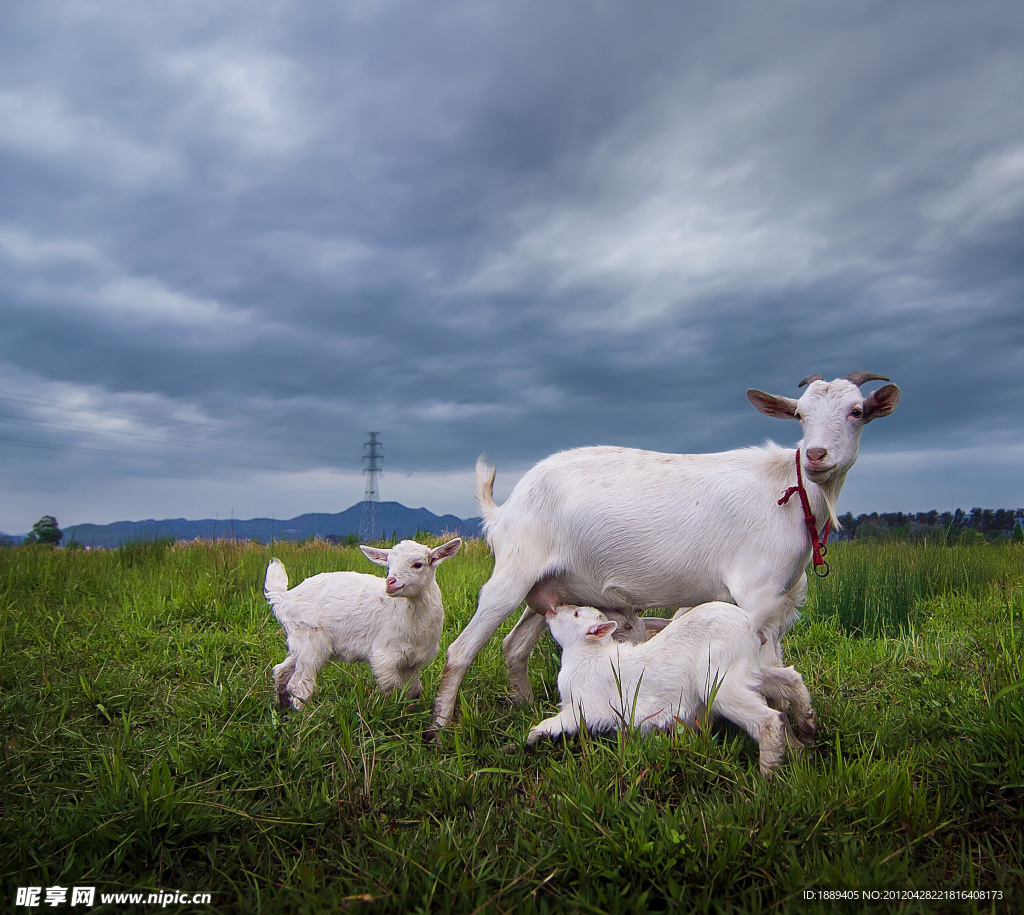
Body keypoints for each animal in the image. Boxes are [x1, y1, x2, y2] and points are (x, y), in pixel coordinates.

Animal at [430, 368, 897, 732]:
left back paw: (524, 705)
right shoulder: (758, 593)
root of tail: (505, 509)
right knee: (460, 650)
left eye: (857, 412)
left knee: (514, 646)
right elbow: (765, 664)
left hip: (550, 587)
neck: (789, 490)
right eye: (799, 414)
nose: (816, 455)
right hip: (513, 571)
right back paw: (439, 727)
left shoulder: (782, 599)